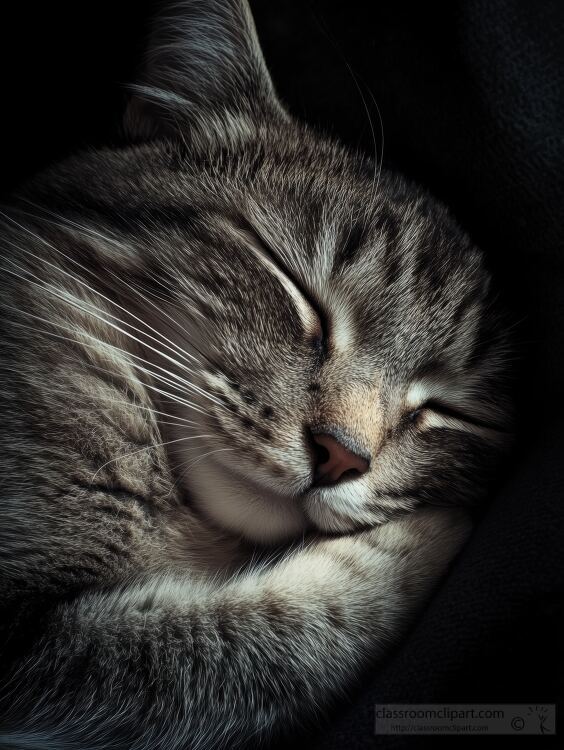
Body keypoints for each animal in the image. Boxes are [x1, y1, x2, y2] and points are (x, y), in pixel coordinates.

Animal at [0, 1, 512, 750]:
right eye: (297, 288)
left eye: (451, 412)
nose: (340, 457)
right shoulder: (36, 645)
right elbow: (253, 647)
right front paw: (428, 533)